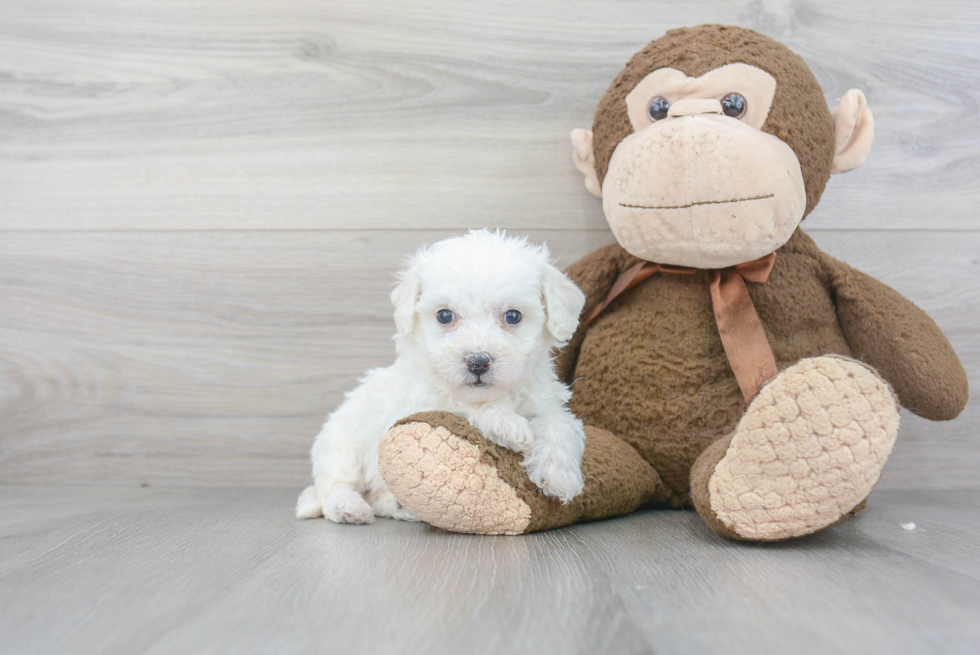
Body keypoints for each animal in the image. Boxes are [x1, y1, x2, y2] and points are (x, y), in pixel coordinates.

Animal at [294, 228, 584, 524]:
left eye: (513, 316)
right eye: (445, 315)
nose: (477, 362)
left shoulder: (545, 401)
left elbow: (558, 422)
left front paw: (559, 473)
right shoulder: (416, 404)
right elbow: (458, 403)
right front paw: (506, 423)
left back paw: (400, 507)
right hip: (341, 444)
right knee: (334, 488)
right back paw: (349, 507)